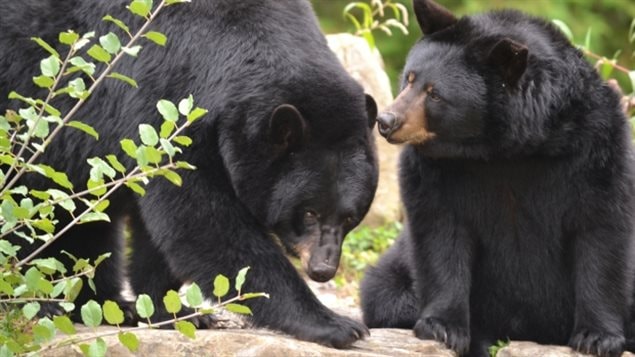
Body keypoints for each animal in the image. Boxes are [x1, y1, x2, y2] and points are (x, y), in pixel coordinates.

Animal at [0, 0, 378, 348]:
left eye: (350, 217)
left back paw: (109, 304)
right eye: (309, 212)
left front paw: (169, 311)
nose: (323, 269)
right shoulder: (170, 102)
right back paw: (40, 305)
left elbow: (163, 232)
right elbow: (203, 221)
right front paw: (334, 323)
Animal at [362, 0, 635, 354]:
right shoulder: (433, 169)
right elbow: (440, 232)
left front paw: (597, 337)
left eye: (435, 94)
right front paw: (442, 327)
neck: (498, 148)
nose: (386, 120)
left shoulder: (594, 147)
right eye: (409, 78)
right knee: (383, 290)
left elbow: (601, 229)